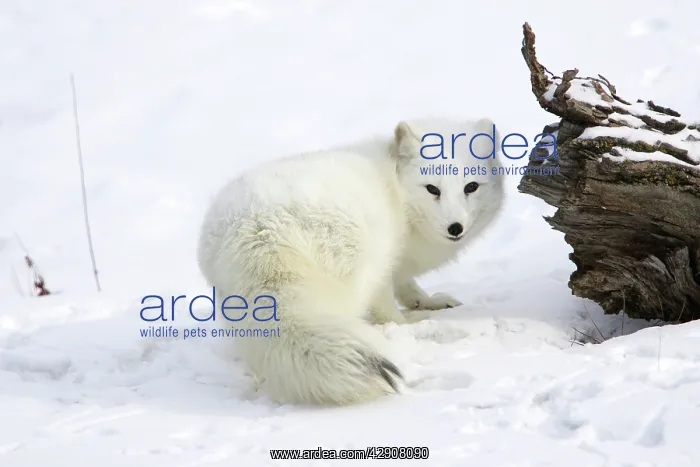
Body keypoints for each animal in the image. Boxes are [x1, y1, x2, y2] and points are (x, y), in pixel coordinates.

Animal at [197, 117, 505, 405]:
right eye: (432, 189)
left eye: (471, 187)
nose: (455, 227)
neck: (399, 192)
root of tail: (258, 227)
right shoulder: (385, 261)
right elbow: (386, 305)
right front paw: (410, 319)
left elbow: (407, 286)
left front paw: (426, 301)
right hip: (360, 261)